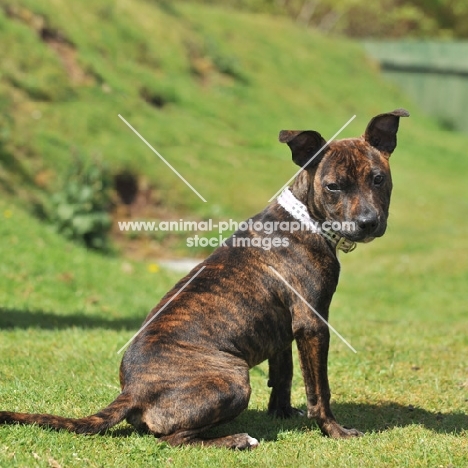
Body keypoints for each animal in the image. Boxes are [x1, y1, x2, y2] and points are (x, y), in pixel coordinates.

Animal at [0, 109, 408, 450]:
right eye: (334, 186)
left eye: (378, 179)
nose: (368, 222)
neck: (304, 218)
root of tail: (133, 391)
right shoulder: (312, 324)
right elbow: (319, 389)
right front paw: (334, 430)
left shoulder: (285, 326)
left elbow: (284, 373)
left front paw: (282, 413)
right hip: (233, 378)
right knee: (172, 439)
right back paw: (235, 440)